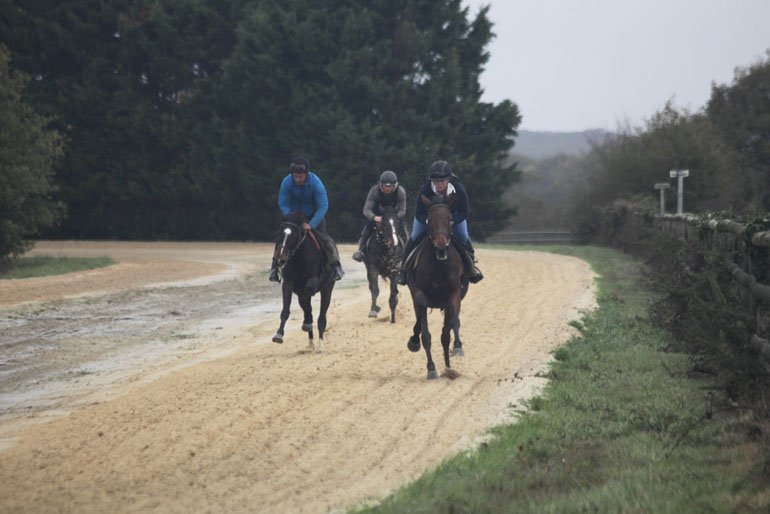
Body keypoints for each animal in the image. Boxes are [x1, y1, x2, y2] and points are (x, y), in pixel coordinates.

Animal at [271, 211, 335, 353]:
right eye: (278, 233)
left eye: (295, 235)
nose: (280, 260)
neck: (299, 257)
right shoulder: (288, 283)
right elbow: (286, 310)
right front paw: (278, 335)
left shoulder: (313, 281)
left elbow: (307, 297)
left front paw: (307, 323)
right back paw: (310, 342)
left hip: (327, 289)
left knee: (322, 317)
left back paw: (320, 345)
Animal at [404, 198, 469, 379]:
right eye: (430, 220)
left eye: (450, 219)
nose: (441, 246)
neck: (439, 264)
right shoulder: (420, 295)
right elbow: (425, 335)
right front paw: (431, 368)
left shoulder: (454, 295)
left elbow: (453, 324)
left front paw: (458, 348)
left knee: (446, 333)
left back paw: (448, 365)